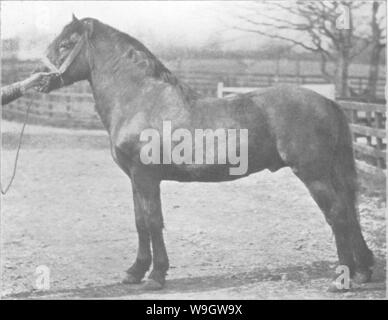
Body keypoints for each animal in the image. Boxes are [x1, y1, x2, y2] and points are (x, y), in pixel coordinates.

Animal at [36, 14, 372, 290]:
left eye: (65, 45)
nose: (38, 78)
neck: (140, 99)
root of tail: (328, 103)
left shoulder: (146, 177)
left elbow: (153, 222)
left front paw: (156, 276)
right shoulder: (135, 179)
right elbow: (140, 222)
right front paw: (134, 272)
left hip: (314, 174)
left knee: (338, 214)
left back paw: (341, 280)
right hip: (330, 172)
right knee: (349, 211)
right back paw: (363, 272)